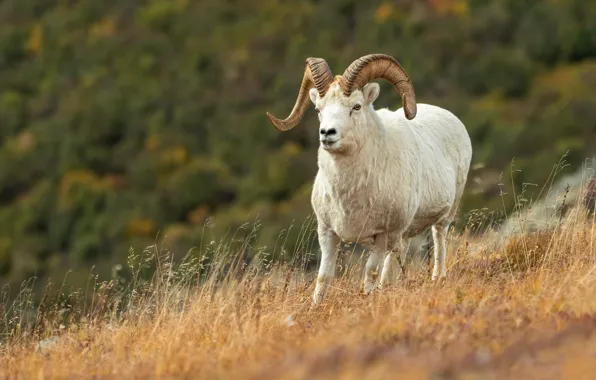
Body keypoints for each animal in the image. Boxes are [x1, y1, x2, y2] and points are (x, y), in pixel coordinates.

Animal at [268, 53, 472, 304]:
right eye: (318, 109)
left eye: (356, 106)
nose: (327, 133)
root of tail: (451, 118)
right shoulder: (327, 232)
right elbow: (324, 277)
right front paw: (315, 306)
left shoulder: (382, 235)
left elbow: (371, 271)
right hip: (402, 233)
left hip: (444, 214)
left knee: (438, 238)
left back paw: (437, 277)